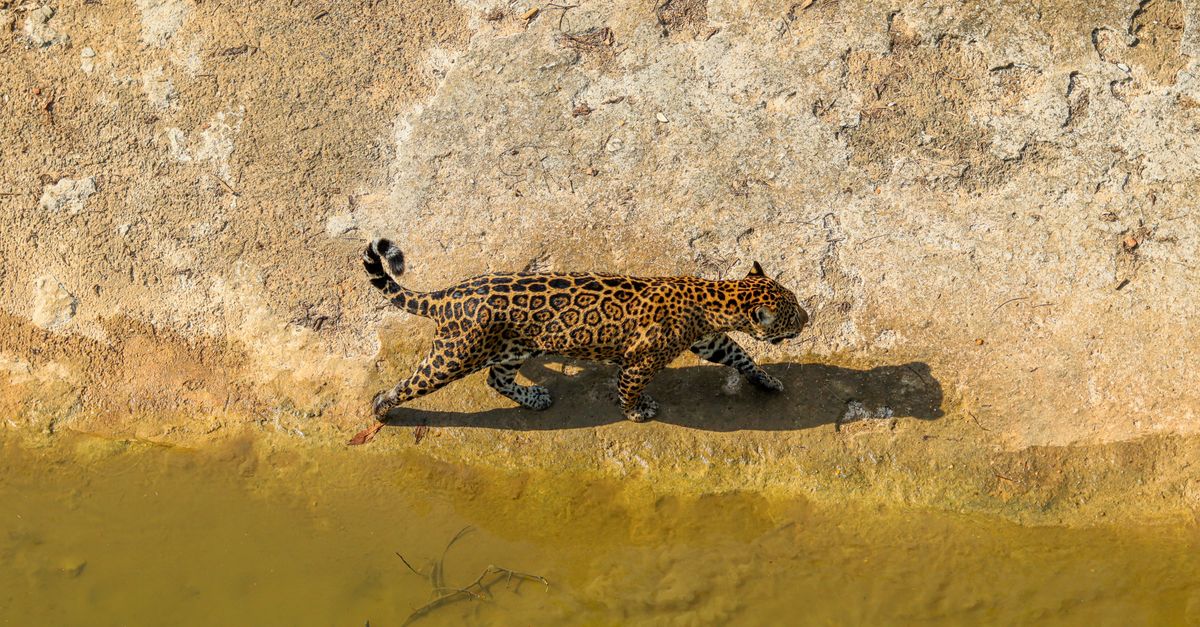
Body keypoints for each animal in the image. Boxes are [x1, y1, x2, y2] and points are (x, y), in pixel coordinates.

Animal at [348, 238, 809, 444]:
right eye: (793, 311)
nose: (809, 318)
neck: (716, 296)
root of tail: (446, 295)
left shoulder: (712, 341)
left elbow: (743, 357)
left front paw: (768, 381)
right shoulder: (641, 361)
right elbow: (628, 389)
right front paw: (637, 412)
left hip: (514, 348)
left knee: (497, 379)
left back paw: (534, 398)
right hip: (454, 355)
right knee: (411, 383)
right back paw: (382, 410)